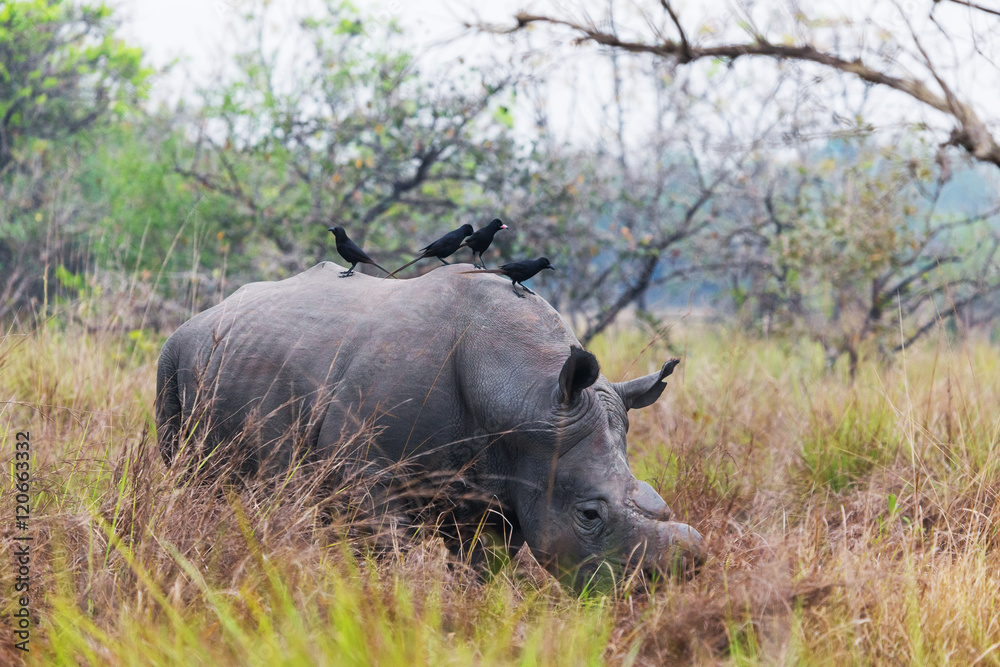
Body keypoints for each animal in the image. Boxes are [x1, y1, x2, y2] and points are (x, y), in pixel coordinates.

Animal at [156, 262, 704, 587]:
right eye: (589, 514)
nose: (650, 589)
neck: (525, 397)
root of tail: (207, 313)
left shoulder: (504, 484)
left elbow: (482, 564)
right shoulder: (366, 478)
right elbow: (384, 552)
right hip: (174, 354)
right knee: (186, 472)